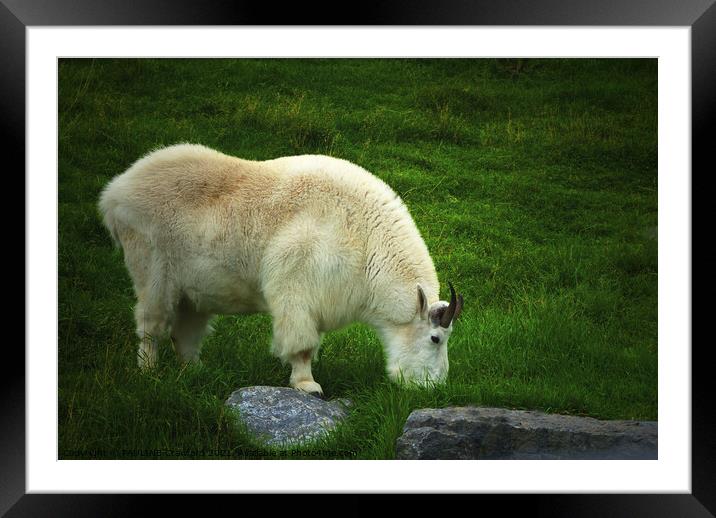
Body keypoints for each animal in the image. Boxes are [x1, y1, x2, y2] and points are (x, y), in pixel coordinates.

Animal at [98, 144, 462, 396]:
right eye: (435, 338)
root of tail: (114, 194)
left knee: (186, 331)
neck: (365, 236)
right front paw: (307, 385)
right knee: (151, 323)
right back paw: (148, 371)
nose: (434, 387)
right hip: (150, 264)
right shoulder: (295, 282)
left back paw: (196, 371)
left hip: (193, 291)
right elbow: (301, 343)